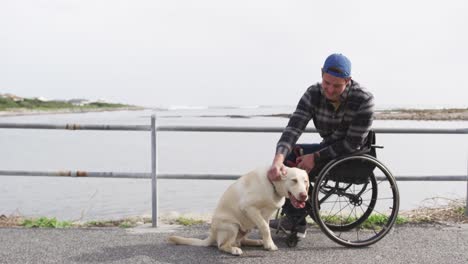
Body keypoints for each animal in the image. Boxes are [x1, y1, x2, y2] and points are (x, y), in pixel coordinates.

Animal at [166, 166, 308, 255]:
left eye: (305, 181)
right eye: (294, 180)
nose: (304, 196)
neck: (273, 185)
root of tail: (212, 234)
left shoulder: (266, 215)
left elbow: (265, 228)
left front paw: (267, 243)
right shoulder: (249, 207)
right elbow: (265, 228)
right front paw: (270, 245)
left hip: (248, 225)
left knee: (240, 241)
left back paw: (256, 242)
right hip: (232, 226)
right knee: (223, 245)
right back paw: (234, 250)